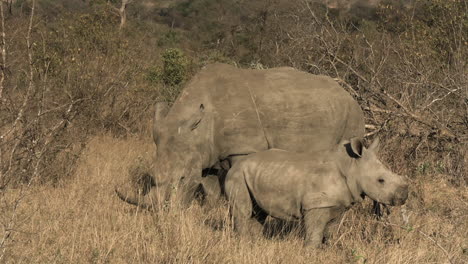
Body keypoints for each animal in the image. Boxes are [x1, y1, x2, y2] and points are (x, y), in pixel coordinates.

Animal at [225, 137, 408, 246]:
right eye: (381, 180)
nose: (404, 197)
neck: (352, 167)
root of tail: (234, 165)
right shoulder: (316, 204)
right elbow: (314, 232)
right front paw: (311, 252)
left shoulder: (339, 204)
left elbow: (331, 231)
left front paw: (329, 249)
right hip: (237, 175)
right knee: (243, 210)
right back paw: (244, 243)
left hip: (257, 174)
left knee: (258, 212)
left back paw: (256, 242)